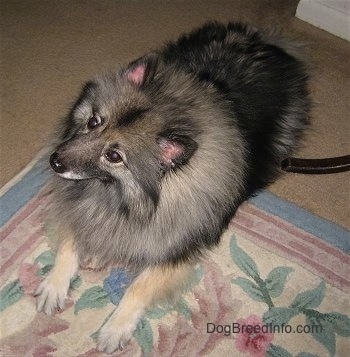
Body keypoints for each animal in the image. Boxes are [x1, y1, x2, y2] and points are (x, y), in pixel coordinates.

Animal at [35, 23, 308, 354]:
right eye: (94, 121)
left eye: (114, 156)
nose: (55, 161)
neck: (119, 198)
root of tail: (264, 41)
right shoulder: (80, 208)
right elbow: (72, 239)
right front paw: (55, 283)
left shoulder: (176, 250)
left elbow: (140, 285)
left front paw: (115, 327)